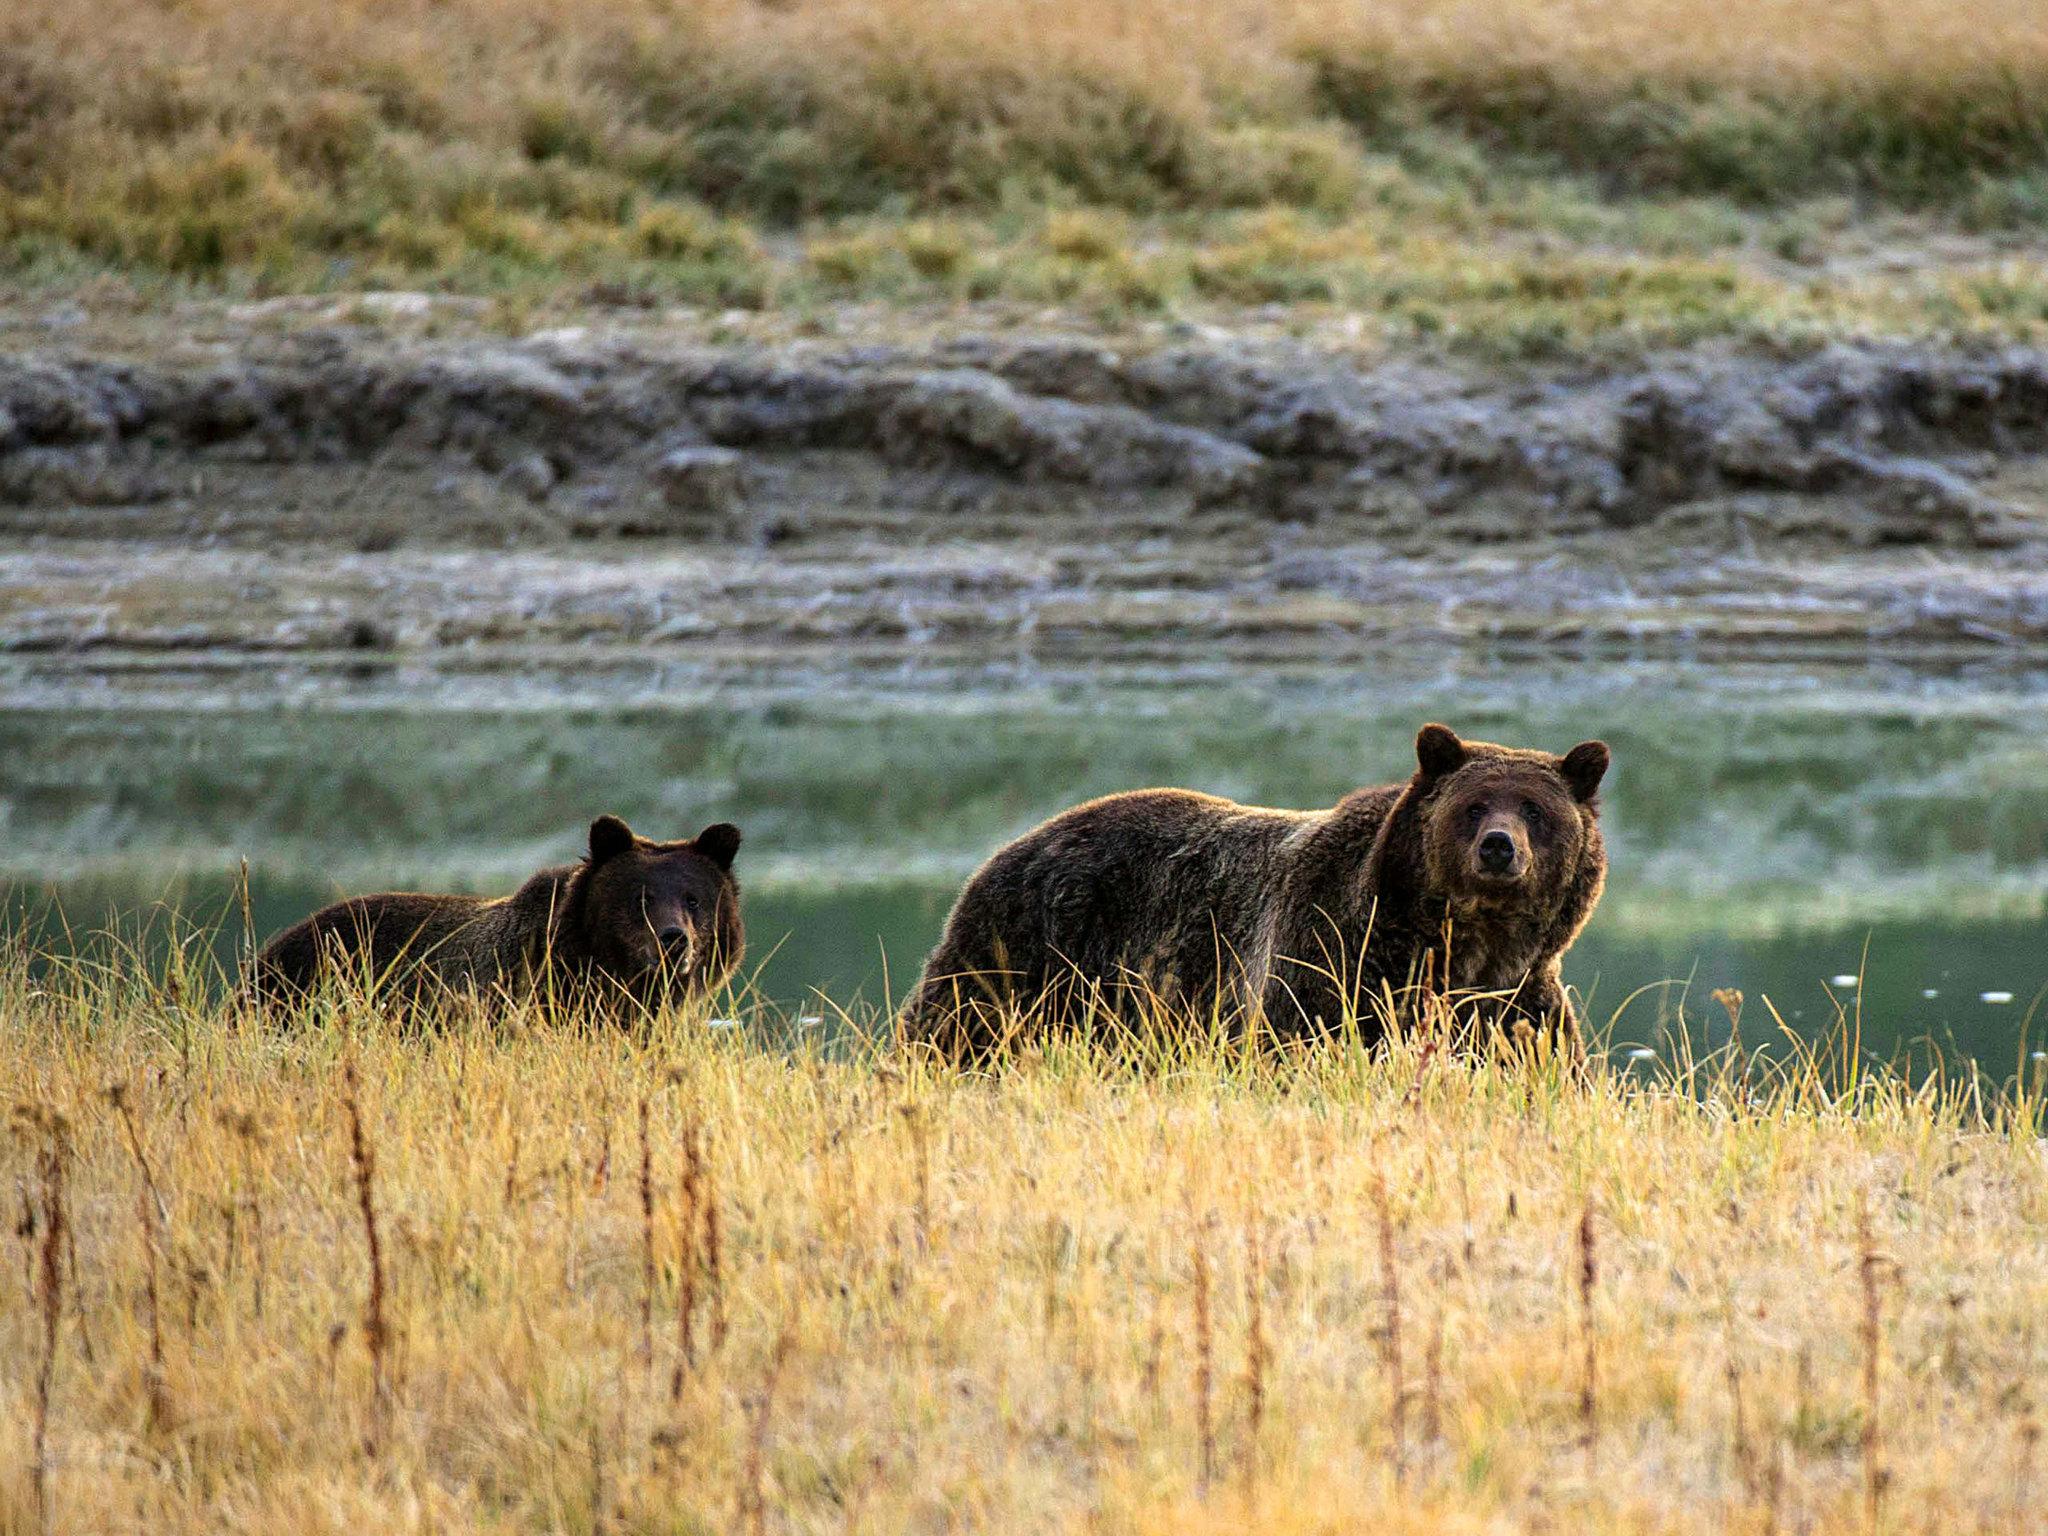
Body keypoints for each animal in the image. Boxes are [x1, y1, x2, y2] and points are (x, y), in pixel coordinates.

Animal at [905, 729, 1605, 1064]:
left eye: (1535, 809)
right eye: (1474, 805)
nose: (1499, 847)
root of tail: (1010, 846)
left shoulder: (1516, 1000)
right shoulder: (1331, 960)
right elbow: (1299, 1043)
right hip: (1027, 953)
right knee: (956, 1027)